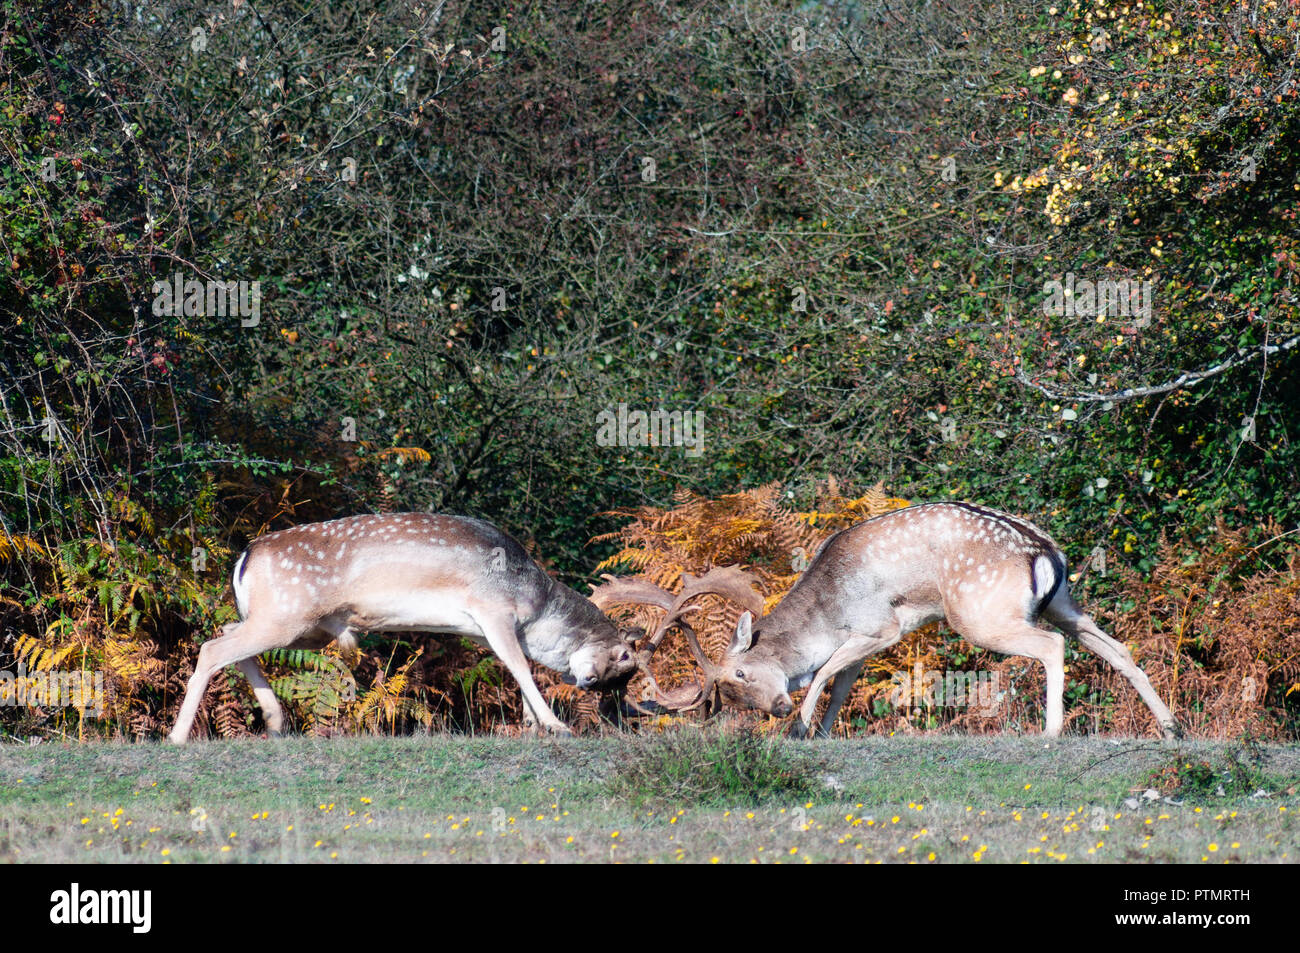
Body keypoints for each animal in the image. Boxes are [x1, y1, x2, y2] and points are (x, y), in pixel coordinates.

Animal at [167, 512, 644, 743]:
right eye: (624, 660)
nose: (589, 683)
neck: (534, 604)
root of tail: (246, 556)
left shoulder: (480, 629)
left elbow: (514, 668)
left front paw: (530, 726)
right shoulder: (492, 610)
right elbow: (521, 666)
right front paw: (556, 726)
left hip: (301, 626)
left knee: (227, 633)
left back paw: (275, 720)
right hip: (287, 615)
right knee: (212, 648)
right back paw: (177, 737)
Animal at [660, 501, 1180, 738]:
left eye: (740, 674)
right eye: (733, 694)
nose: (779, 709)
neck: (828, 613)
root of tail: (1044, 552)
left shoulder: (881, 626)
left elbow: (825, 672)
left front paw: (801, 731)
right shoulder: (869, 639)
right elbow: (842, 682)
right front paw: (820, 732)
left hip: (979, 614)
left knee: (1052, 645)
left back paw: (1050, 731)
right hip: (1063, 602)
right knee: (1116, 647)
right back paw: (1171, 726)